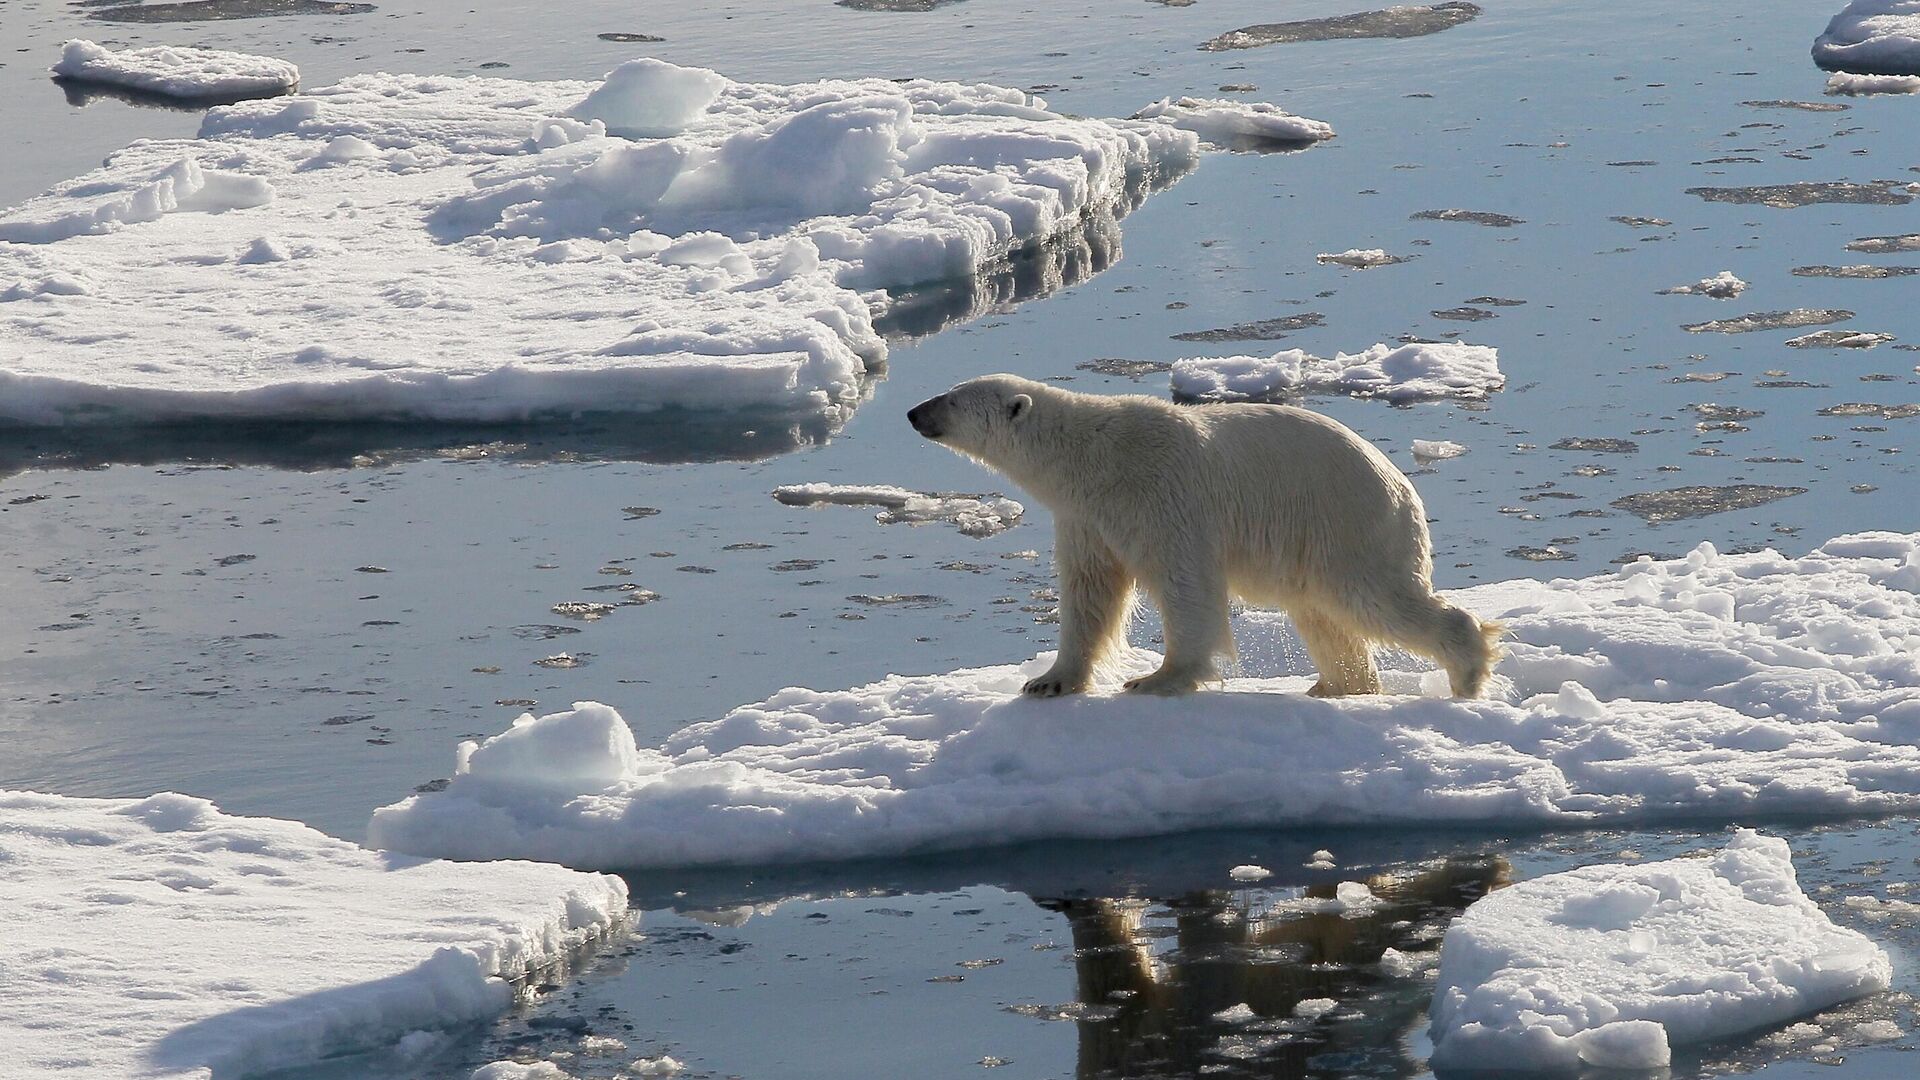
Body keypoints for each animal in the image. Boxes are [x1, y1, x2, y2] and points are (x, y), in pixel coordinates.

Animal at [906, 374, 1505, 699]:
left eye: (952, 399)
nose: (913, 411)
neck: (1093, 458)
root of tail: (1403, 486)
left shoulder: (1161, 497)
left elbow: (1185, 585)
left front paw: (1158, 678)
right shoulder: (1086, 518)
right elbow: (1089, 593)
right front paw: (1048, 681)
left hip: (1346, 524)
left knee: (1374, 599)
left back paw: (1467, 669)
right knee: (1321, 614)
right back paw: (1337, 684)